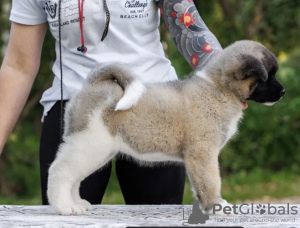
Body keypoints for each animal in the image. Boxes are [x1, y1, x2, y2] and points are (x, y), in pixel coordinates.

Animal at [47, 40, 286, 216]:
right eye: (268, 76)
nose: (283, 92)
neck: (219, 89)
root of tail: (93, 84)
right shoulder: (202, 153)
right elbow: (210, 182)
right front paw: (216, 206)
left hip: (96, 150)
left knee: (74, 177)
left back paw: (77, 203)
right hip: (90, 144)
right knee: (60, 172)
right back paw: (65, 207)